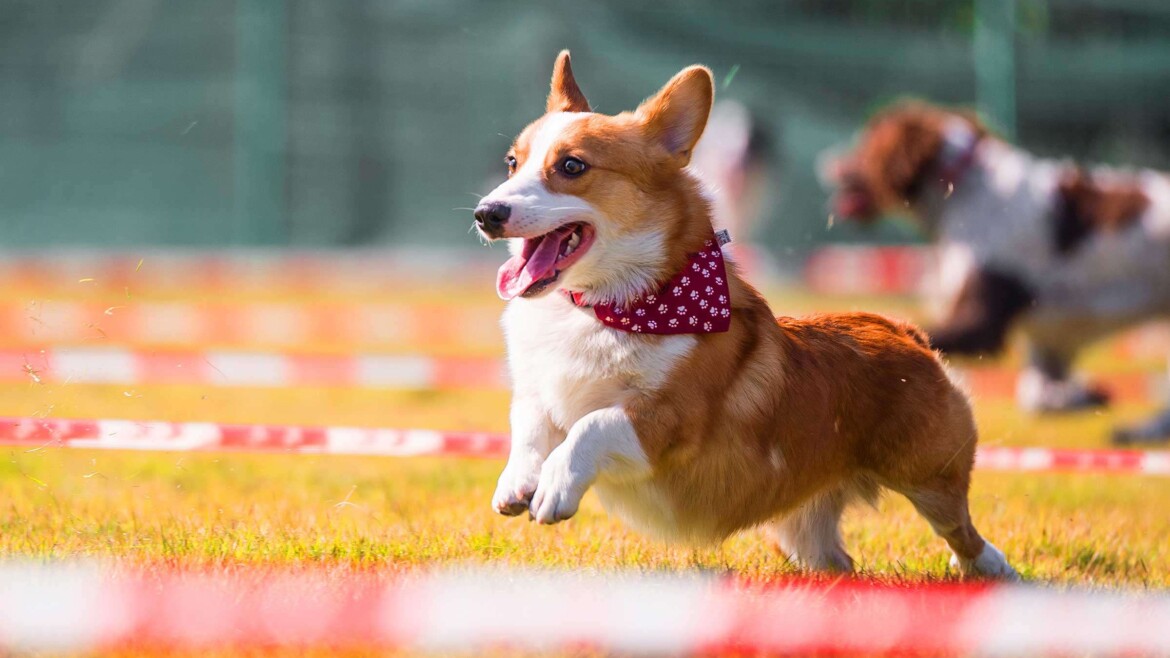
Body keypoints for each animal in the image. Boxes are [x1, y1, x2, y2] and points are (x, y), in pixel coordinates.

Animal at [470, 51, 1020, 573]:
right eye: (512, 162)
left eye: (572, 167)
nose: (485, 214)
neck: (605, 306)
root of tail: (903, 331)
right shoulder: (540, 393)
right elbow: (529, 425)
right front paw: (517, 483)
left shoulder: (670, 420)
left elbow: (593, 424)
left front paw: (555, 487)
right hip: (801, 529)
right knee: (835, 560)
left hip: (929, 477)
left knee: (961, 529)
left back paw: (991, 569)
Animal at [828, 102, 1170, 440]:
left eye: (865, 147)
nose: (828, 165)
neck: (965, 190)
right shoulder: (1045, 336)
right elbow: (1037, 395)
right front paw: (1083, 396)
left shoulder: (982, 318)